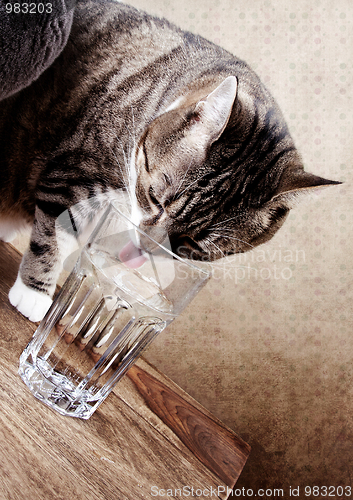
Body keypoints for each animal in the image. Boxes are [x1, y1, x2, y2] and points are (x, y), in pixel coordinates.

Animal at [0, 0, 338, 322]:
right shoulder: (76, 168)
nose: (144, 249)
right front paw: (35, 293)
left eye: (194, 244)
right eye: (155, 200)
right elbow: (56, 234)